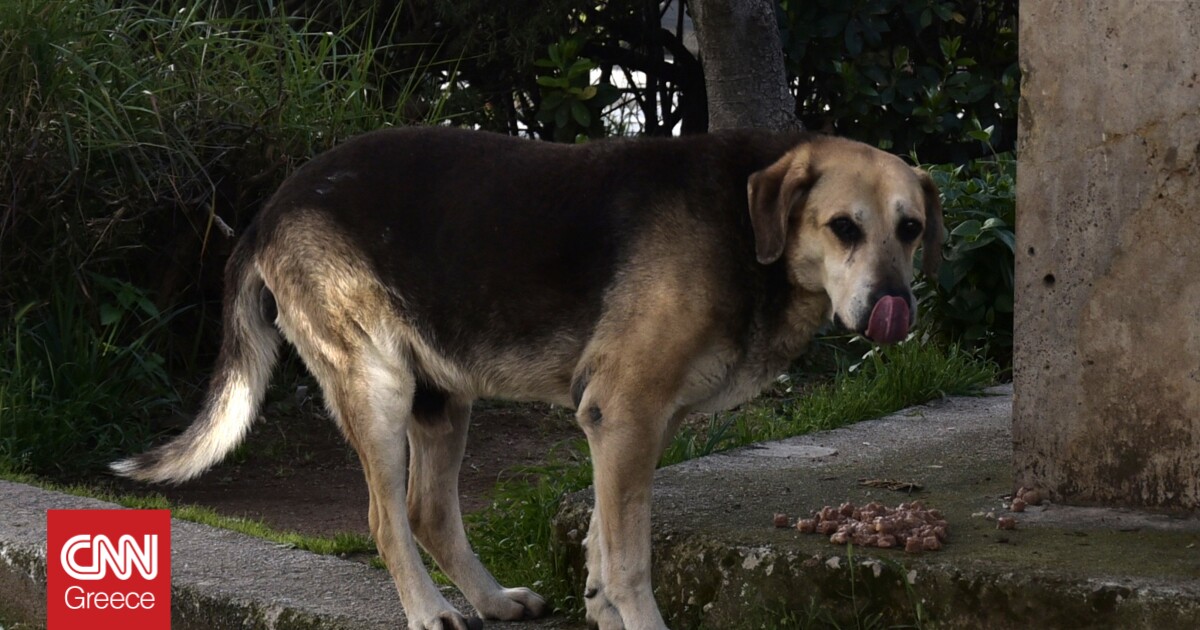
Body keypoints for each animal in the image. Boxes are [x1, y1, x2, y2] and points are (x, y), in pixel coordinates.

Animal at [113, 126, 942, 630]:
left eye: (910, 229)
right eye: (843, 228)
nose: (897, 305)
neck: (744, 225)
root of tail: (270, 208)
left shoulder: (630, 425)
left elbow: (604, 543)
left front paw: (600, 609)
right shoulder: (625, 413)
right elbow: (630, 558)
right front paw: (633, 617)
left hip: (442, 393)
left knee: (429, 512)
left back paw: (489, 598)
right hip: (377, 385)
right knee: (386, 518)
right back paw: (430, 610)